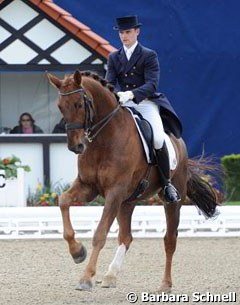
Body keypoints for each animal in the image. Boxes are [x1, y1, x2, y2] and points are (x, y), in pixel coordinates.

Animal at [47, 70, 221, 290]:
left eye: (79, 104)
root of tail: (179, 143)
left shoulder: (114, 192)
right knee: (126, 237)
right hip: (127, 201)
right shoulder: (89, 187)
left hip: (173, 200)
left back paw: (165, 284)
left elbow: (100, 234)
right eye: (60, 106)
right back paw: (110, 275)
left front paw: (86, 277)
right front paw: (77, 252)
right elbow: (63, 201)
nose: (75, 146)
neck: (104, 139)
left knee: (169, 240)